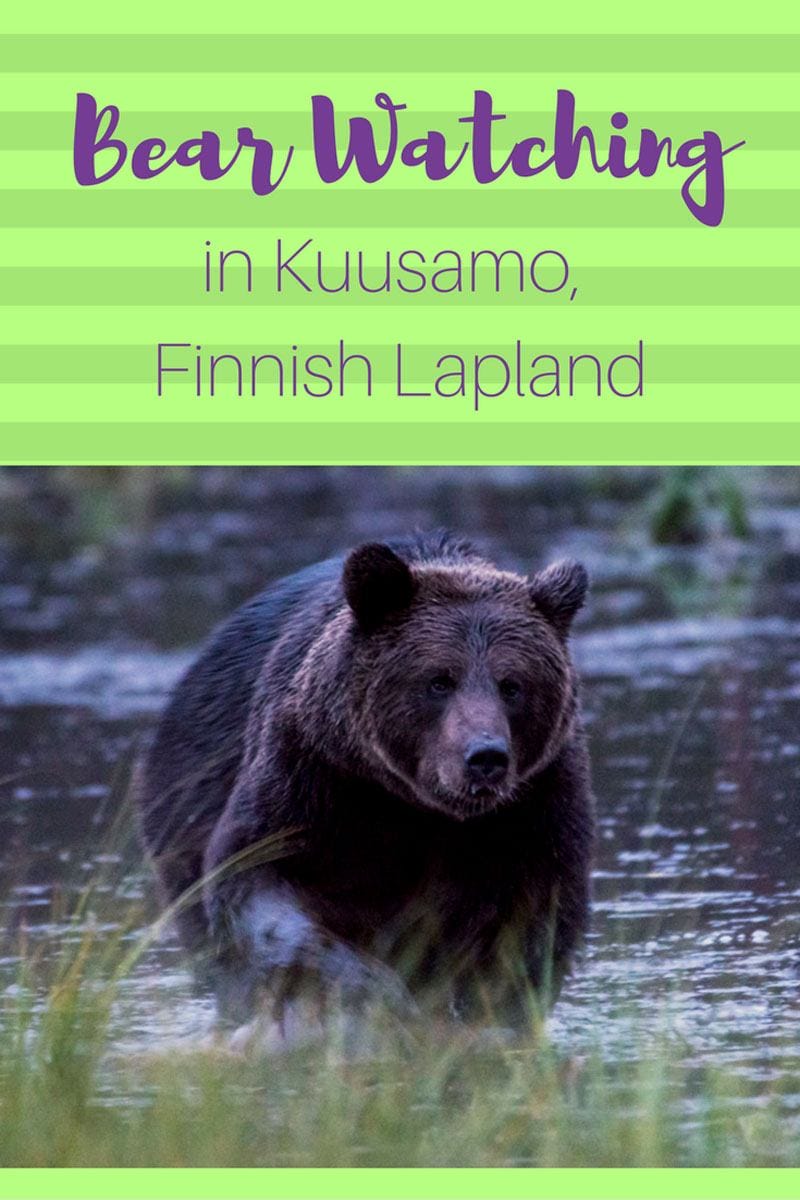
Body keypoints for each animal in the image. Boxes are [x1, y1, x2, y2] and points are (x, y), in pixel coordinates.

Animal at [136, 532, 595, 1026]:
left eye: (512, 684)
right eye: (439, 680)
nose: (485, 757)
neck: (416, 808)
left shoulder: (533, 806)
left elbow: (530, 917)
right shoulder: (314, 776)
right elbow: (258, 875)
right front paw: (371, 988)